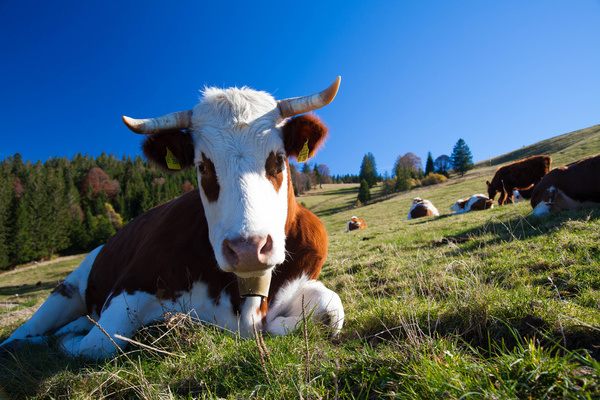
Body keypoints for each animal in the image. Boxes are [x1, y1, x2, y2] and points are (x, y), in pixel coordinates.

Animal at [0, 77, 344, 356]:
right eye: (202, 166)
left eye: (278, 159)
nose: (247, 248)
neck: (243, 296)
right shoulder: (131, 284)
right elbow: (98, 343)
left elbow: (332, 308)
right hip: (67, 289)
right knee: (26, 333)